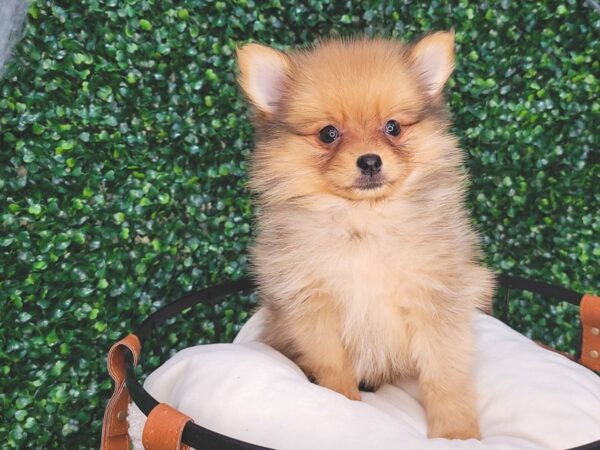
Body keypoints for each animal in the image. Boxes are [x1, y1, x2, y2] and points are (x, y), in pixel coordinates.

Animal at [237, 32, 494, 440]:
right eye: (328, 134)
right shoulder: (313, 304)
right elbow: (332, 366)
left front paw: (457, 432)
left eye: (393, 127)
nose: (370, 161)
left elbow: (445, 373)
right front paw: (344, 404)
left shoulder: (437, 299)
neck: (363, 221)